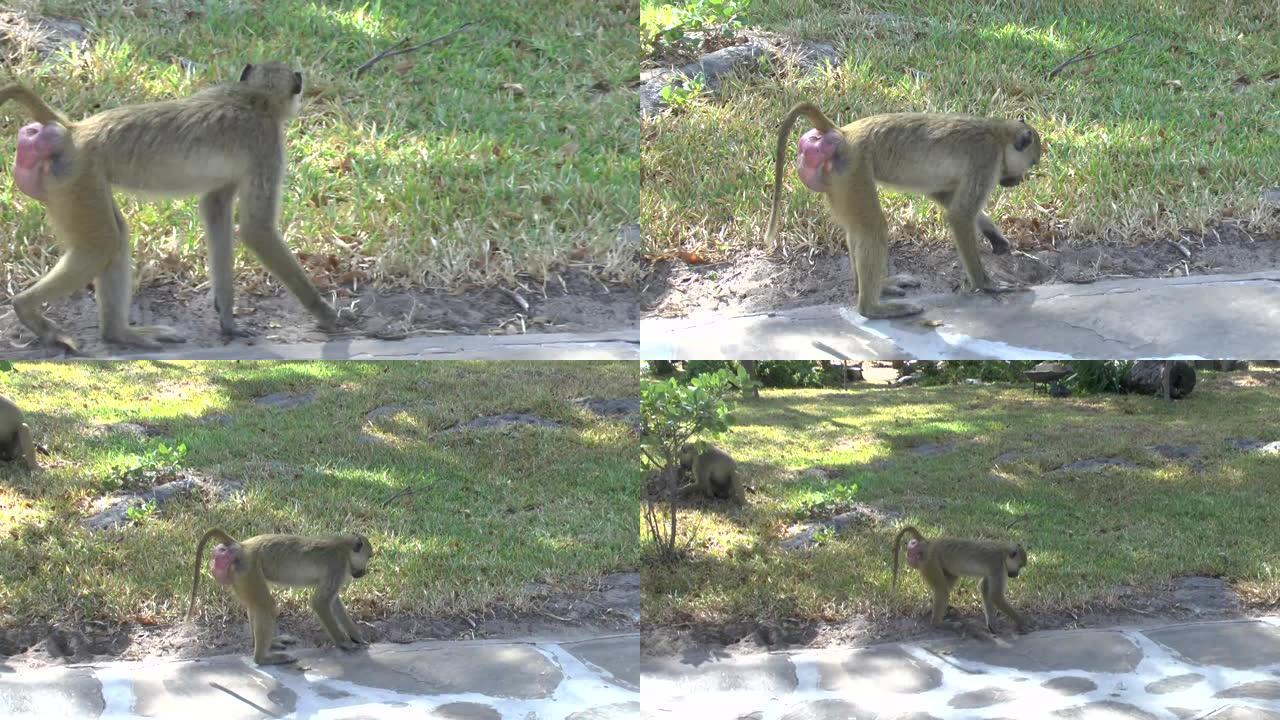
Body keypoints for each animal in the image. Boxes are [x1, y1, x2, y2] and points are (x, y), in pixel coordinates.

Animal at [0, 60, 340, 351]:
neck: (255, 98)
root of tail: (74, 132)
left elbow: (215, 210)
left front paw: (227, 318)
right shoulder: (266, 145)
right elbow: (257, 231)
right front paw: (327, 314)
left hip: (78, 181)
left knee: (115, 239)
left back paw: (119, 334)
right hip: (77, 177)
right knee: (102, 247)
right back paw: (26, 308)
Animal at [186, 527, 373, 661]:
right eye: (369, 557)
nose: (365, 572)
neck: (344, 548)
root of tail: (243, 547)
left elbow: (333, 603)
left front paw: (356, 637)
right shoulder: (338, 566)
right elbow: (320, 603)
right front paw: (345, 644)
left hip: (239, 574)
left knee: (255, 605)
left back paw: (265, 644)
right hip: (248, 570)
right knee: (266, 606)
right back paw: (262, 659)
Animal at [757, 101, 1039, 316]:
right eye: (1032, 163)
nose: (1019, 181)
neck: (998, 134)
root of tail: (844, 134)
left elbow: (945, 199)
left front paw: (994, 236)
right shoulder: (985, 159)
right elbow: (959, 214)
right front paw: (987, 284)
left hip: (837, 177)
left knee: (858, 230)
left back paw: (873, 287)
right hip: (853, 169)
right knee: (872, 229)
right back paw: (872, 308)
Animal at [890, 520, 1029, 632]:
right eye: (1020, 566)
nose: (1016, 574)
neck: (1003, 552)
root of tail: (931, 543)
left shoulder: (995, 570)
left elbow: (985, 589)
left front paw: (992, 624)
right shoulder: (998, 567)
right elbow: (996, 596)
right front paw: (1022, 622)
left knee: (949, 580)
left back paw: (931, 606)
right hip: (930, 561)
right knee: (943, 590)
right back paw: (938, 623)